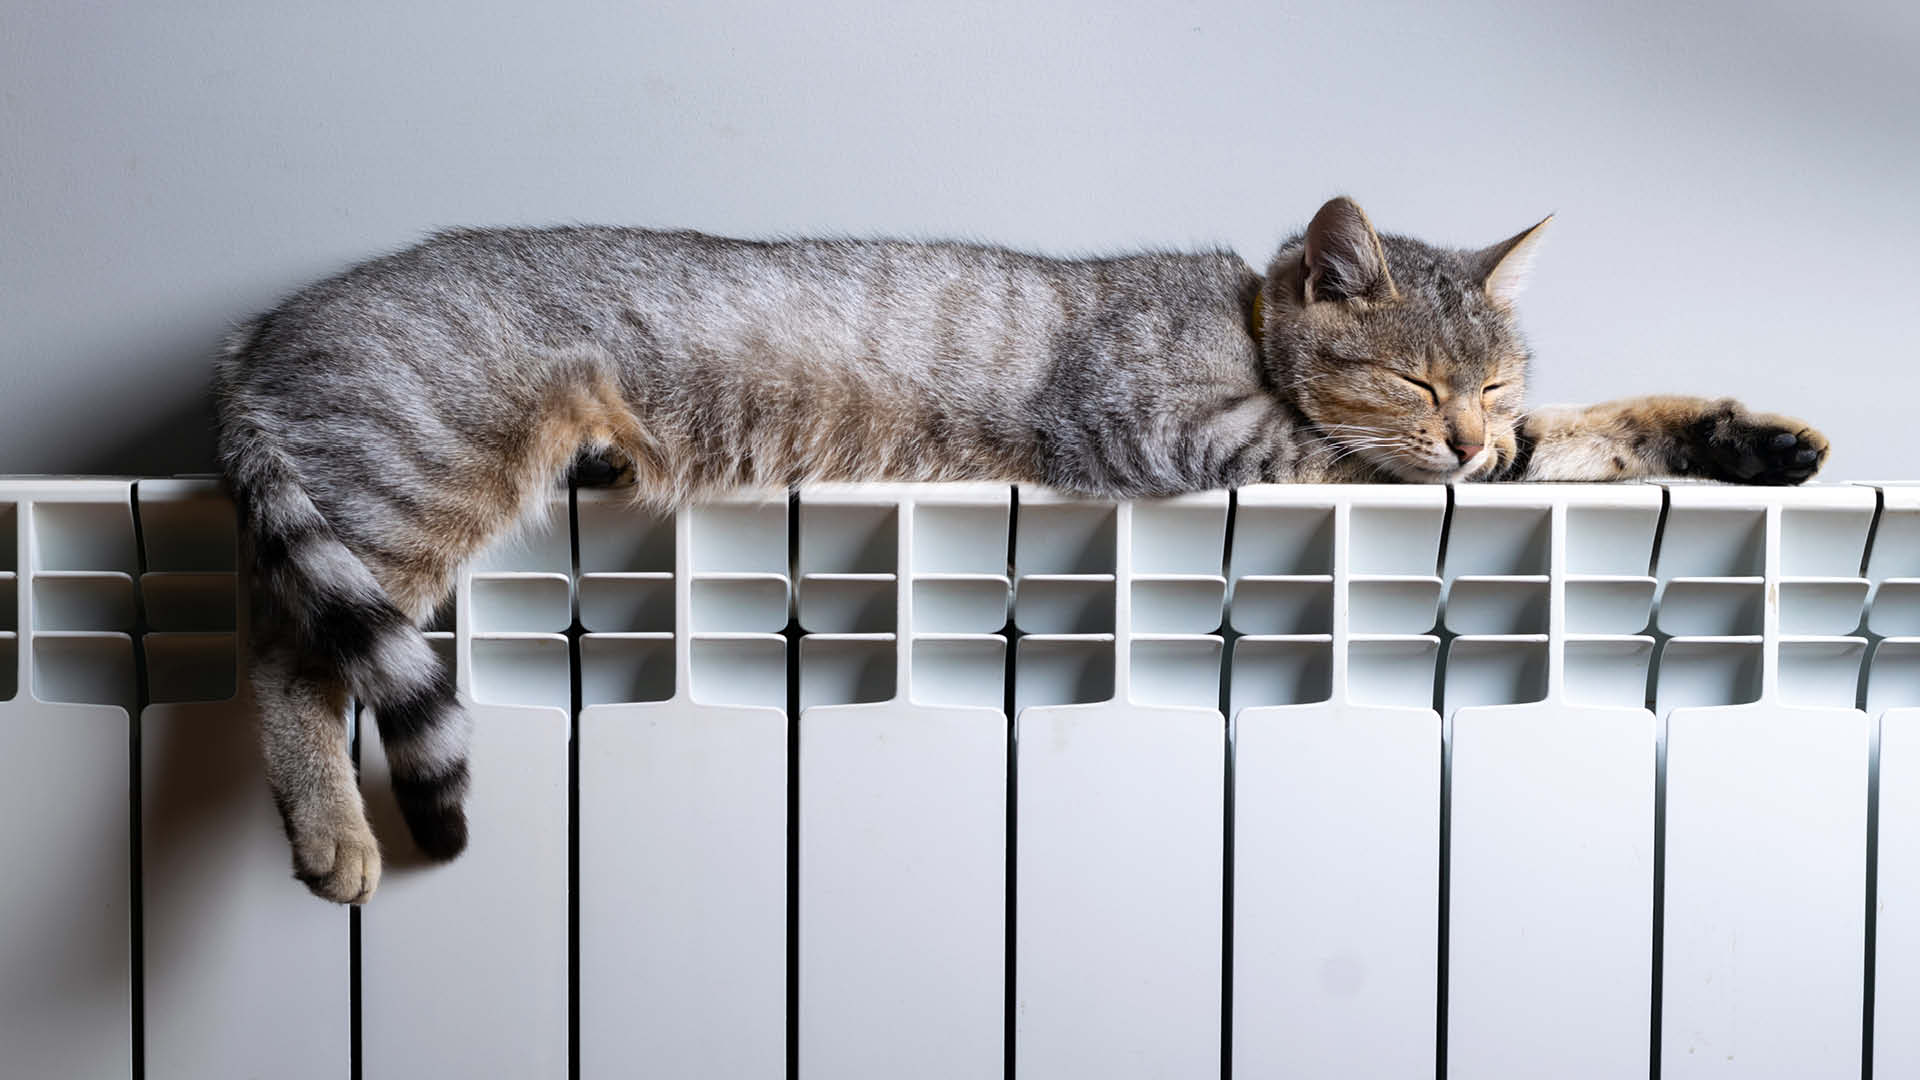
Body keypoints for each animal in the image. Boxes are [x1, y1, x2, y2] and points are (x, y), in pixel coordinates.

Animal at [217, 195, 1820, 899]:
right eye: (1419, 383)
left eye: (1492, 379)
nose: (1469, 435)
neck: (1239, 322)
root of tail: (258, 332)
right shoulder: (1214, 447)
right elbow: (1405, 468)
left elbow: (1586, 431)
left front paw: (1746, 440)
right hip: (417, 481)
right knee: (282, 662)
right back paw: (334, 834)